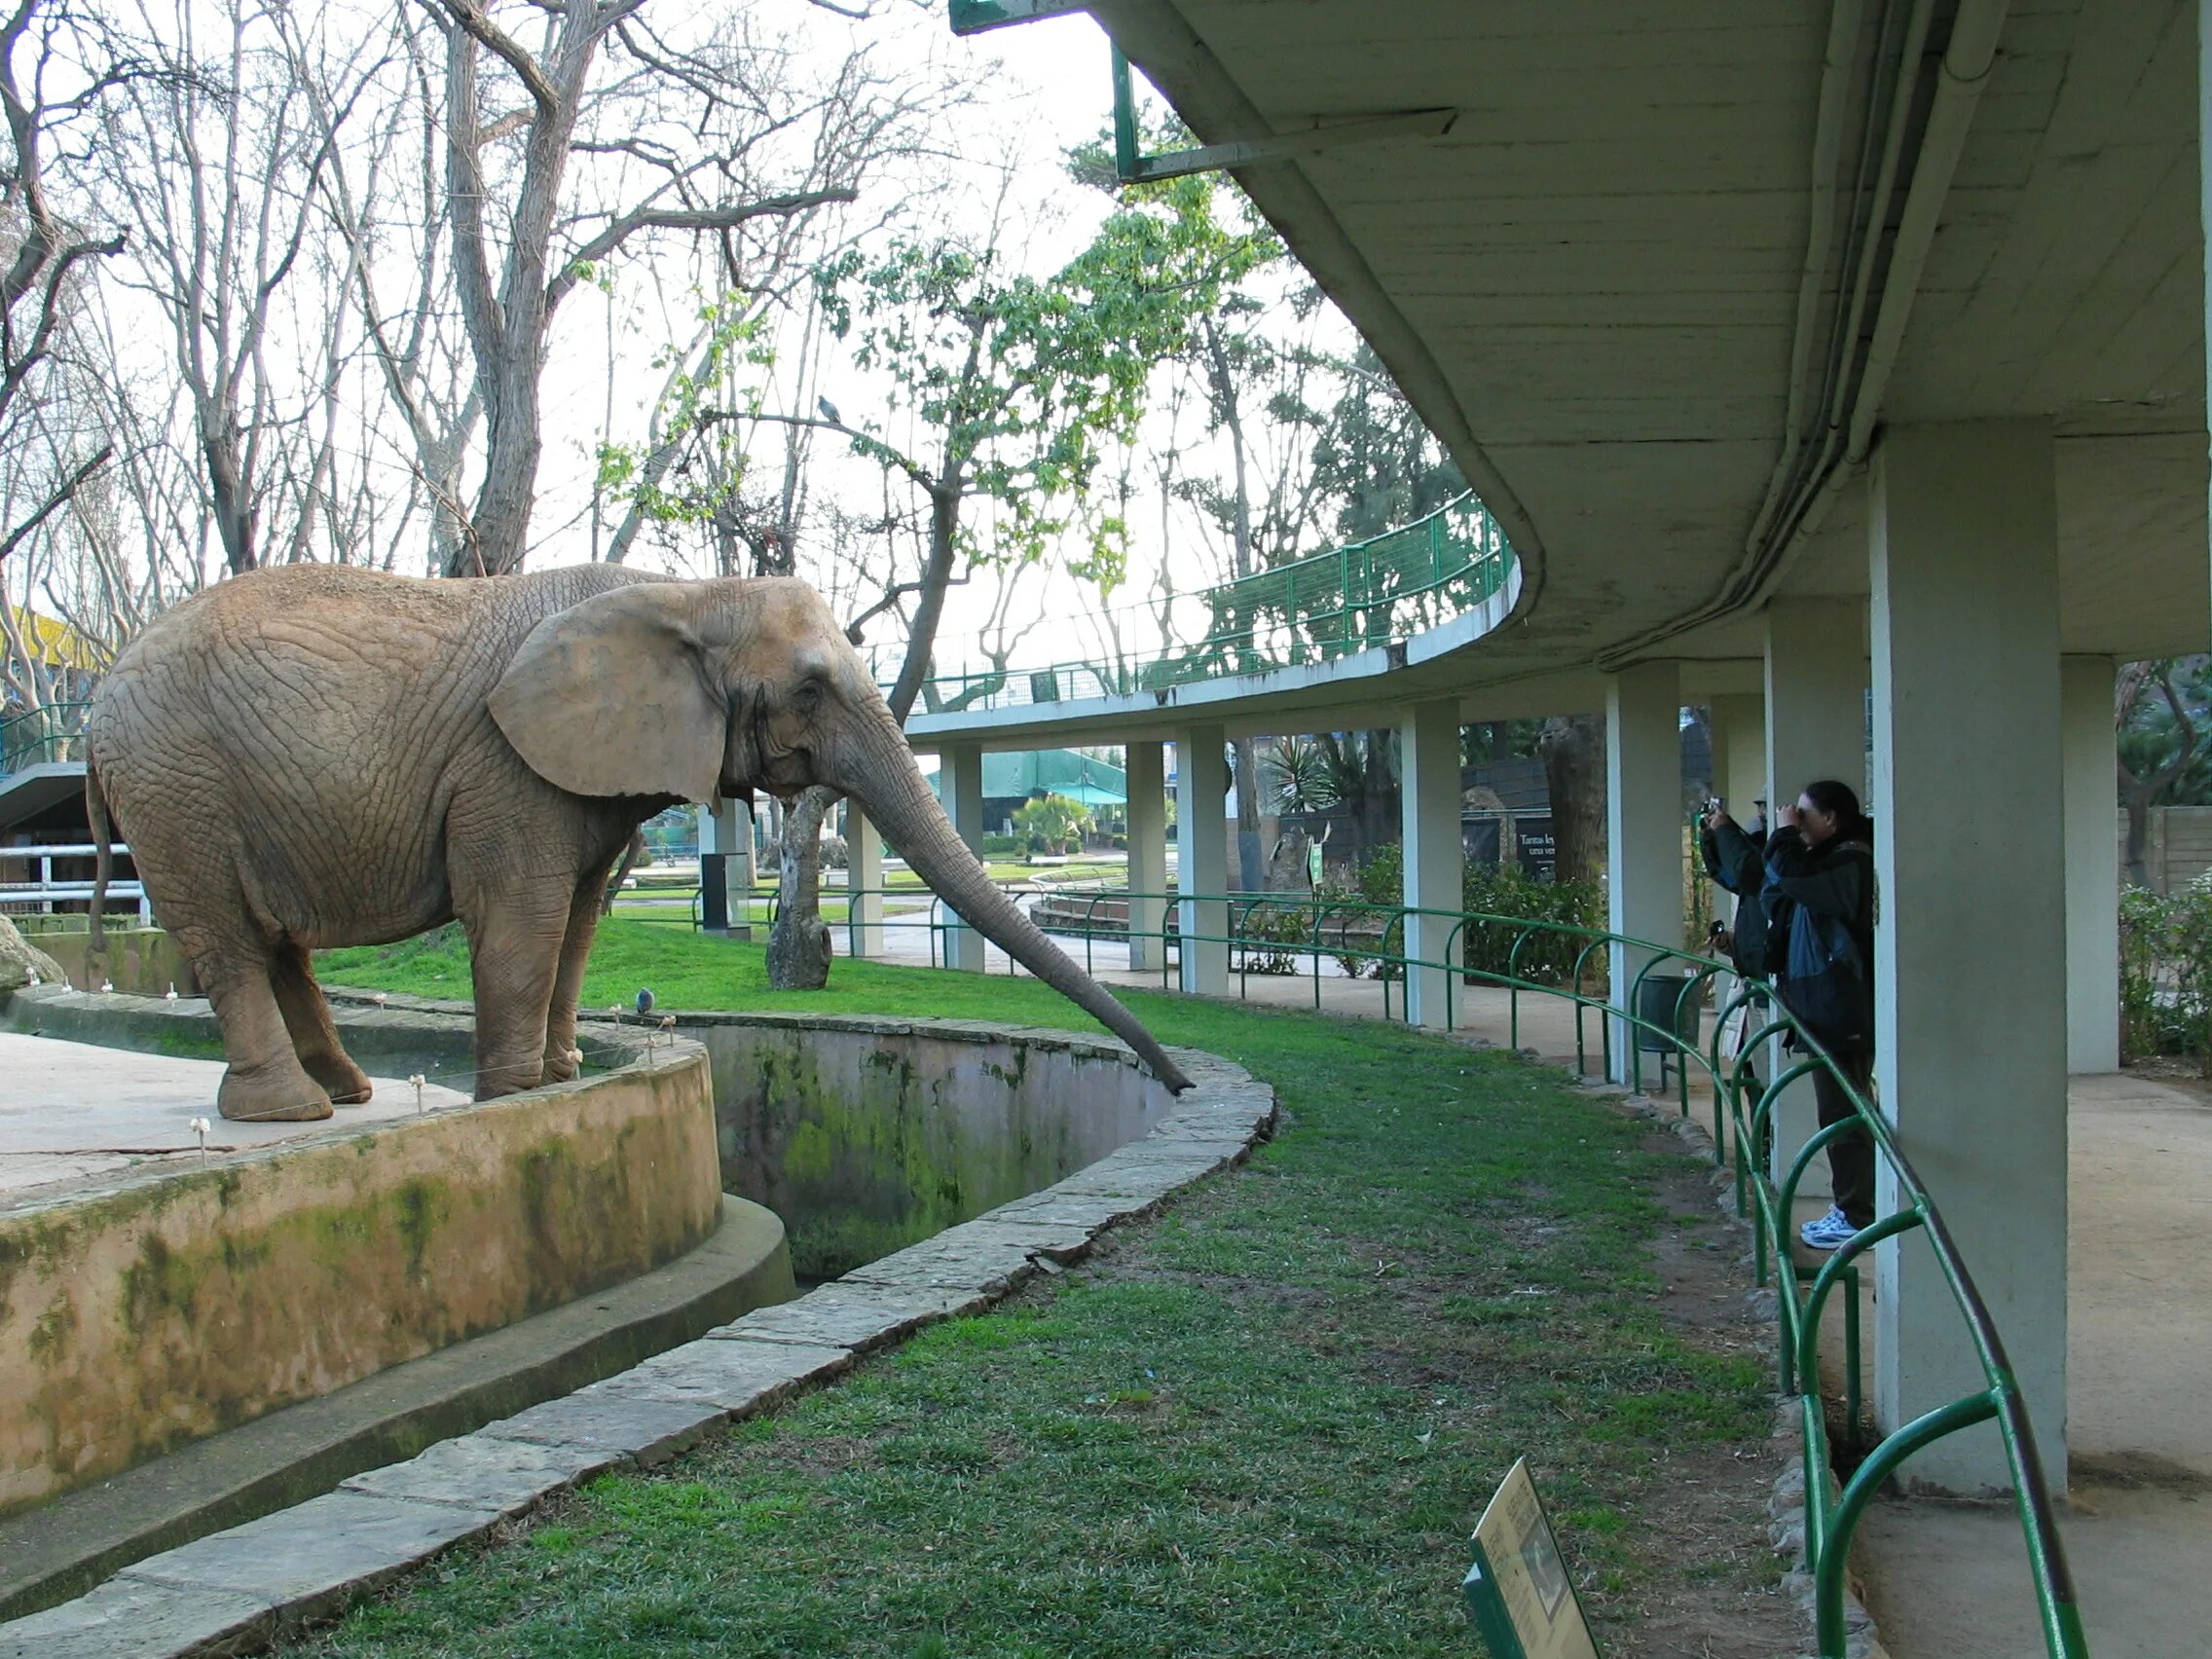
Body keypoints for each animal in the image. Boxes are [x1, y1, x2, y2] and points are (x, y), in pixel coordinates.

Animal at [82, 566, 1194, 1124]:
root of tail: (96, 706)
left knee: (273, 942)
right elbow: (522, 915)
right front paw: (511, 1101)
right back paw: (292, 1116)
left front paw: (563, 1076)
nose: (1178, 1085)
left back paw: (345, 1093)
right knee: (227, 940)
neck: (681, 586)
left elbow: (576, 916)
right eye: (808, 687)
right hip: (176, 787)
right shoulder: (504, 763)